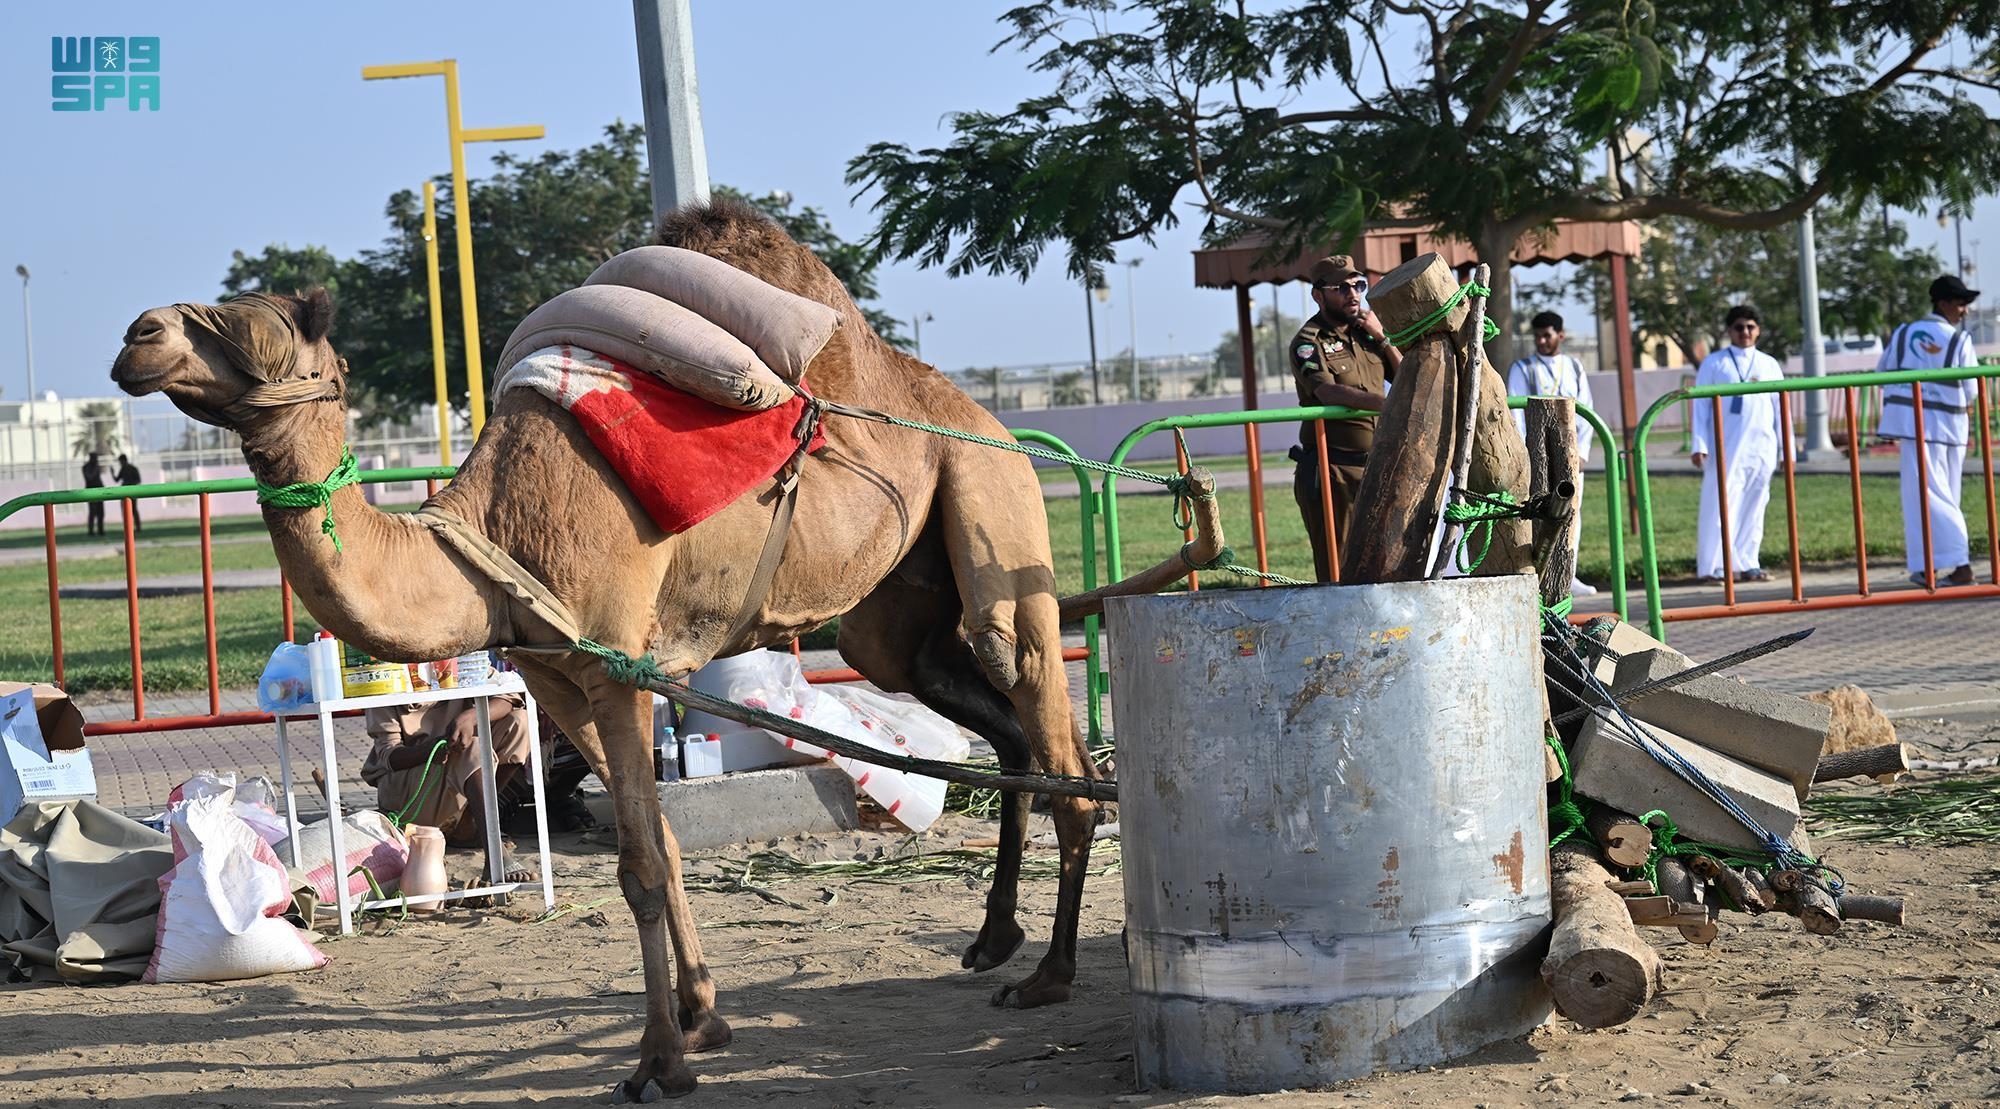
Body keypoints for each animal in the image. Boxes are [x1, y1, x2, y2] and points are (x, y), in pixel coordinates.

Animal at [105, 201, 1112, 1096]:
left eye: (257, 325)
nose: (136, 334)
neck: (492, 534)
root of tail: (985, 419)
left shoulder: (617, 663)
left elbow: (637, 862)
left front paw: (659, 1061)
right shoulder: (557, 675)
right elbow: (658, 839)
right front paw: (705, 1014)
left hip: (994, 506)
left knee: (1050, 725)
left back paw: (1050, 976)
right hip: (890, 615)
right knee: (1001, 732)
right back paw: (994, 939)